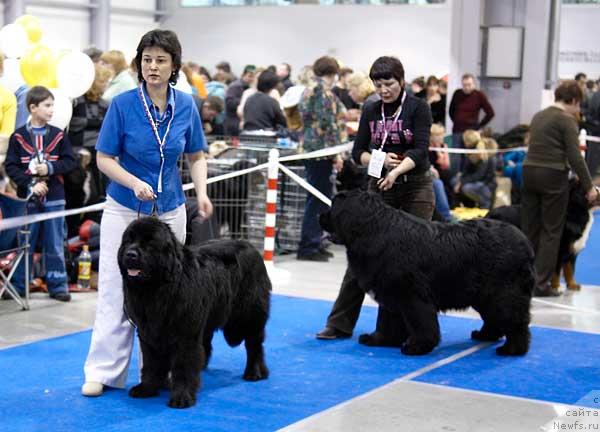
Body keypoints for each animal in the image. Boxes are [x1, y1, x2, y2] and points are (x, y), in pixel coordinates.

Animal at [118, 219, 272, 408]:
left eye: (149, 243)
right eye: (128, 240)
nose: (130, 254)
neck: (157, 288)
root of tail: (251, 247)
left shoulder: (185, 335)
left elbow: (183, 365)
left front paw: (182, 397)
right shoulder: (149, 333)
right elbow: (151, 362)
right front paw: (147, 388)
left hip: (250, 316)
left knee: (254, 344)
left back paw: (255, 372)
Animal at [322, 191, 536, 356]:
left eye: (333, 205)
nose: (319, 214)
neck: (373, 230)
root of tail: (524, 240)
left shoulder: (412, 296)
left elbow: (421, 323)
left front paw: (416, 346)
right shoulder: (392, 291)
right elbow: (387, 320)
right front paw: (379, 339)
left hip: (504, 293)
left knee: (515, 321)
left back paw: (512, 349)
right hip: (484, 296)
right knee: (494, 319)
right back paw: (485, 336)